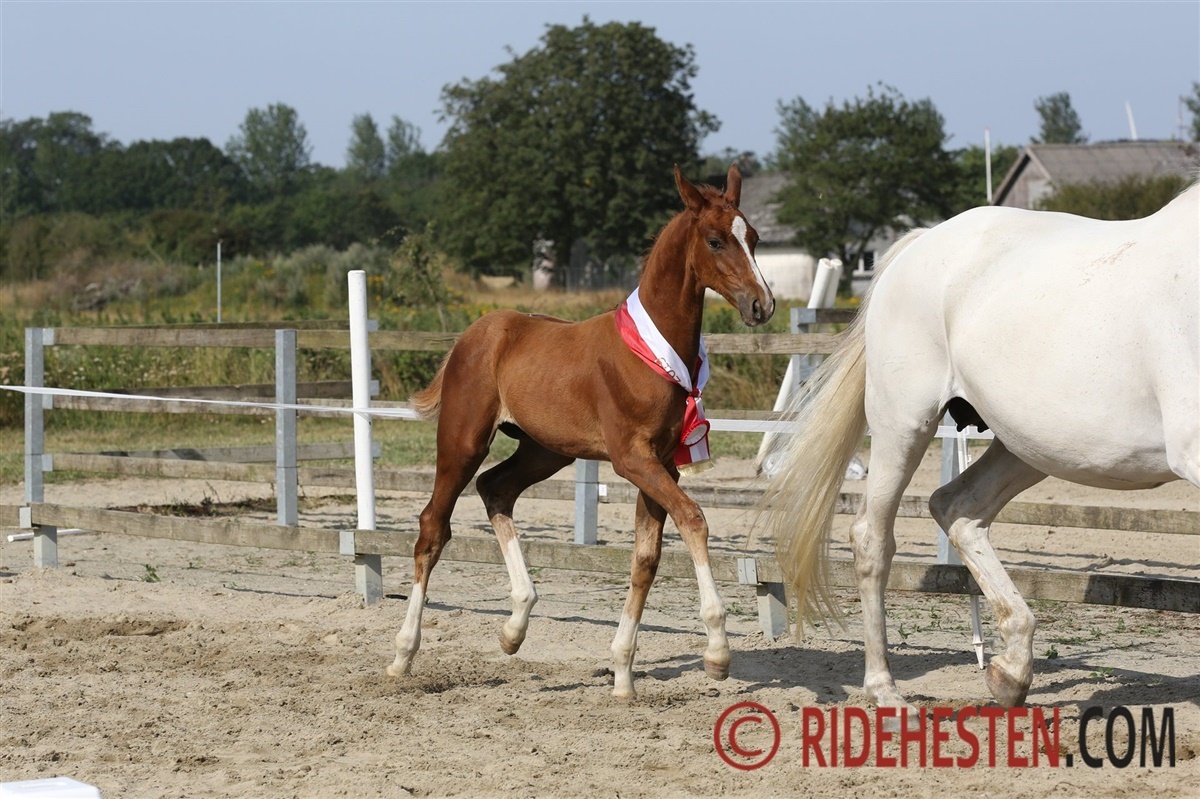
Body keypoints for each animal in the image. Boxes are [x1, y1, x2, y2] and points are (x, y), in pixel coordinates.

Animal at [388, 164, 775, 698]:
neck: (650, 354)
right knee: (433, 527)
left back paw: (515, 626)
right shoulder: (633, 459)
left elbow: (646, 557)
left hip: (545, 451)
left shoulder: (662, 465)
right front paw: (717, 652)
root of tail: (472, 335)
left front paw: (623, 675)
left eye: (754, 238)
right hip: (463, 442)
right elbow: (694, 519)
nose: (763, 305)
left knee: (495, 489)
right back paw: (403, 655)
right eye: (716, 241)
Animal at [765, 181, 1198, 709]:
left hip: (1029, 445)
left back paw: (1010, 672)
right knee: (873, 537)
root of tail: (921, 243)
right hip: (904, 424)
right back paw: (886, 691)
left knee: (959, 508)